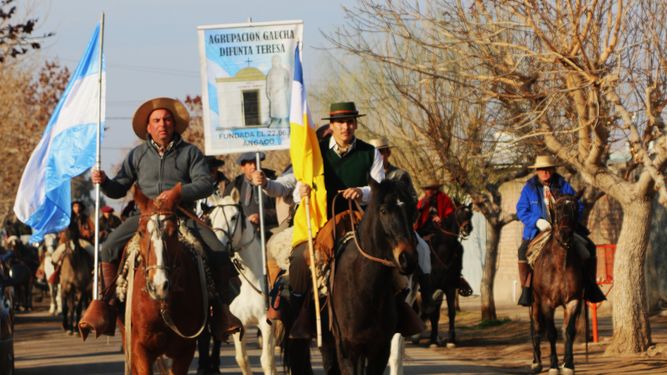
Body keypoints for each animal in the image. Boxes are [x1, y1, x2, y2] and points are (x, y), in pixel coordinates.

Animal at [206, 194, 274, 375]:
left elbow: (267, 361)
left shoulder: (266, 323)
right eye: (211, 218)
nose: (218, 245)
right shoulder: (238, 325)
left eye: (233, 217)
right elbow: (242, 359)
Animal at [418, 203, 474, 350]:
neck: (442, 250)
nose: (467, 228)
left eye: (470, 214)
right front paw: (432, 341)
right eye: (459, 213)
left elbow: (451, 312)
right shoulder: (432, 287)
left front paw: (451, 340)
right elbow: (433, 314)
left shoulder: (449, 287)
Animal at [532, 194, 584, 375]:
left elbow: (568, 332)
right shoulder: (547, 303)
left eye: (575, 208)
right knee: (537, 329)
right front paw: (554, 366)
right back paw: (536, 363)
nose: (565, 235)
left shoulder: (573, 301)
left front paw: (568, 365)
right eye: (558, 208)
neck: (561, 264)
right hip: (535, 303)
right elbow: (551, 334)